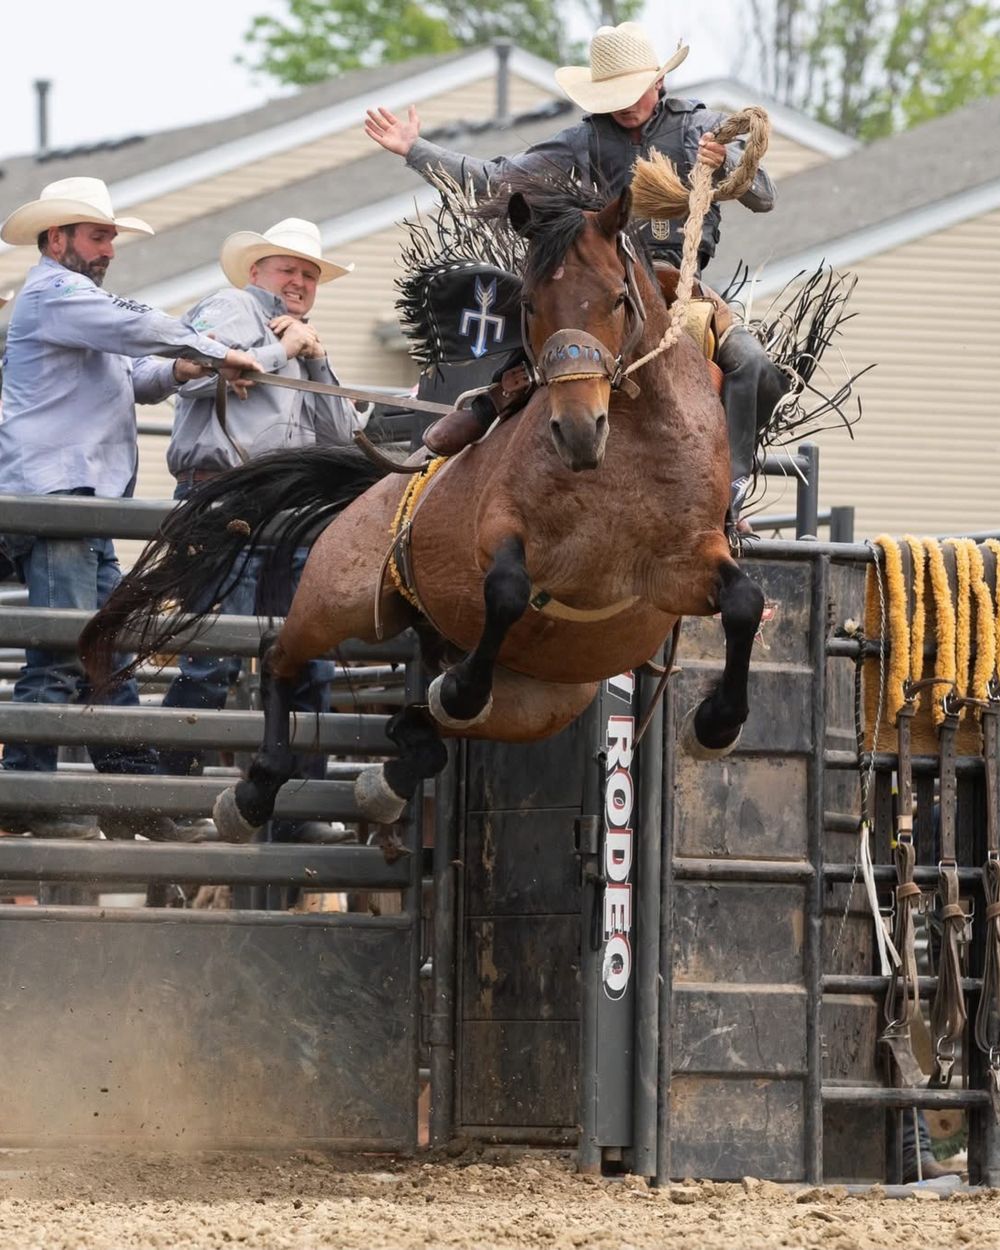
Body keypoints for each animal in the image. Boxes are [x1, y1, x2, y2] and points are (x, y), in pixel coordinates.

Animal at [80, 173, 765, 840]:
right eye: (529, 304)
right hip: (336, 597)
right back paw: (255, 792)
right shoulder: (500, 534)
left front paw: (715, 725)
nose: (576, 428)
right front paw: (460, 688)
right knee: (279, 658)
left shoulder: (680, 568)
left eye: (619, 299)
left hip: (542, 702)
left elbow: (744, 602)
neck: (624, 460)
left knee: (420, 729)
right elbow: (508, 588)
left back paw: (392, 769)